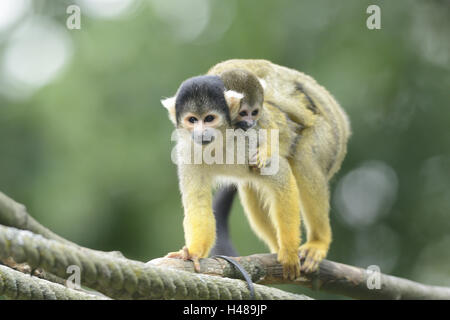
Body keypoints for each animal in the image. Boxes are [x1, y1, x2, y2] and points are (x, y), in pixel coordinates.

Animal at [162, 58, 352, 278]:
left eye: (209, 118)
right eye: (192, 120)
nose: (202, 133)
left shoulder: (250, 137)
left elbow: (282, 177)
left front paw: (289, 251)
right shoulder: (188, 153)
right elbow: (198, 203)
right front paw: (193, 252)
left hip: (326, 135)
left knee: (304, 159)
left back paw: (317, 242)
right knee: (251, 189)